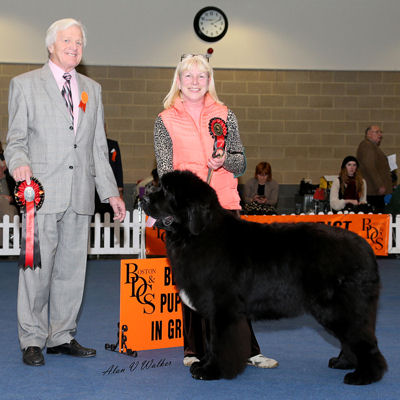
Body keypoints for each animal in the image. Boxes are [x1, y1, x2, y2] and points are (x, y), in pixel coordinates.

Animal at [142, 169, 386, 384]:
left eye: (167, 191)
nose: (143, 197)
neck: (197, 235)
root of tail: (366, 247)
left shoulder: (223, 308)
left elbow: (220, 342)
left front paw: (212, 371)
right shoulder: (213, 310)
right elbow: (211, 341)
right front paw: (203, 365)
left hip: (339, 308)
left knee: (363, 340)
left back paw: (365, 375)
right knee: (353, 338)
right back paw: (343, 363)